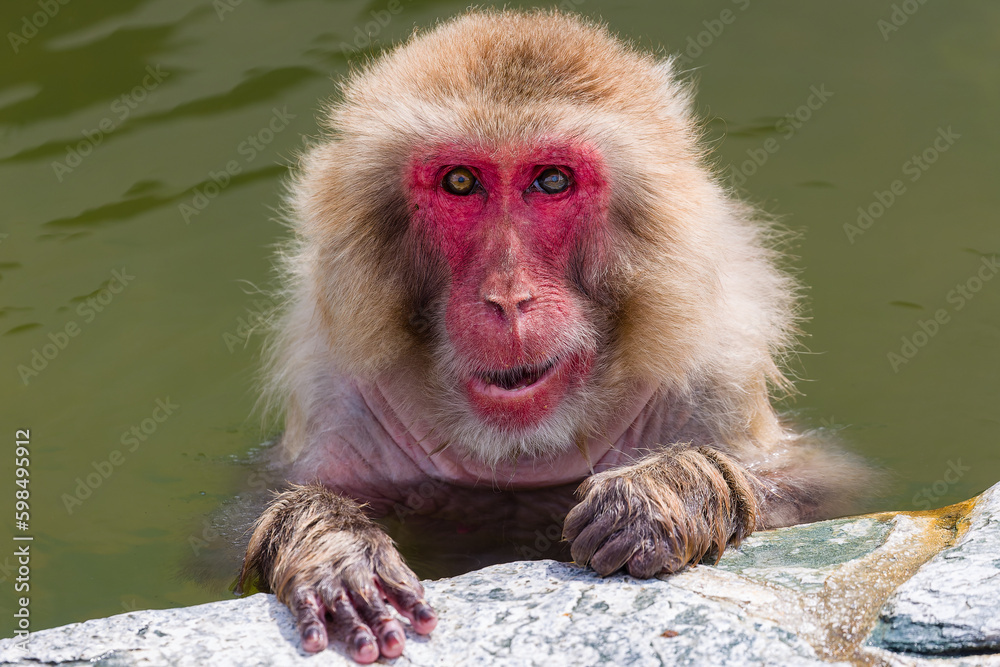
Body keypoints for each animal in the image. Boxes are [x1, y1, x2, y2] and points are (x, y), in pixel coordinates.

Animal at [237, 9, 872, 663]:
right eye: (460, 182)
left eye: (550, 180)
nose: (509, 298)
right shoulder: (336, 397)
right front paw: (333, 550)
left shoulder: (714, 379)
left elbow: (821, 493)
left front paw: (665, 490)